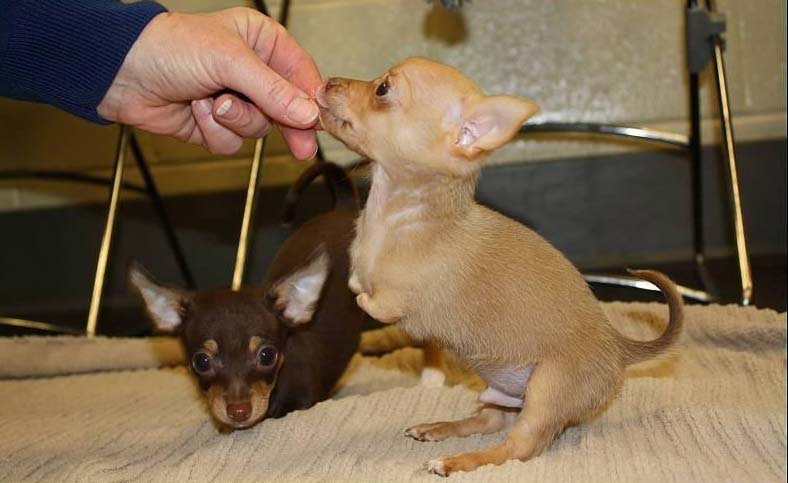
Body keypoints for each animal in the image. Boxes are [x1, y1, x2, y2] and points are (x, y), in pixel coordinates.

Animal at [318, 58, 680, 478]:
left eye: (383, 90)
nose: (328, 81)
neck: (398, 218)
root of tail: (620, 347)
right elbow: (357, 279)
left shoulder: (397, 301)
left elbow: (373, 300)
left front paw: (363, 298)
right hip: (499, 391)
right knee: (490, 421)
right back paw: (438, 429)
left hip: (546, 391)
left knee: (517, 448)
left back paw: (456, 460)